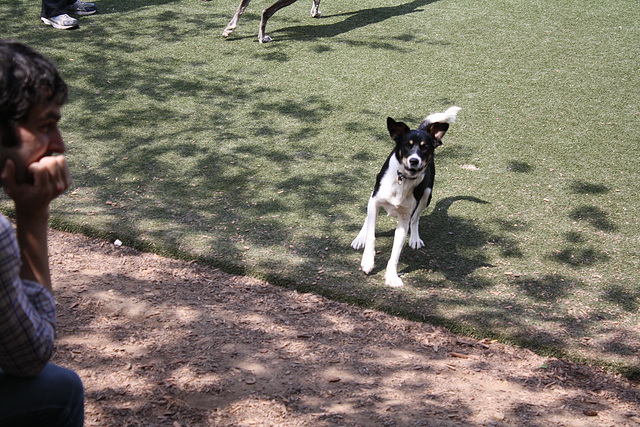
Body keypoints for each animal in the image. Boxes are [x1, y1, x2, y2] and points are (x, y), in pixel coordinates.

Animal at [350, 106, 460, 288]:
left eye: (424, 147)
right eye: (407, 146)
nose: (414, 161)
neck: (403, 181)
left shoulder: (404, 218)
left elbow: (396, 252)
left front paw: (391, 276)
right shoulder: (375, 200)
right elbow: (372, 234)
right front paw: (367, 261)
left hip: (427, 194)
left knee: (415, 219)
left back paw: (415, 238)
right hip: (374, 194)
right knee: (369, 217)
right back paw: (360, 237)